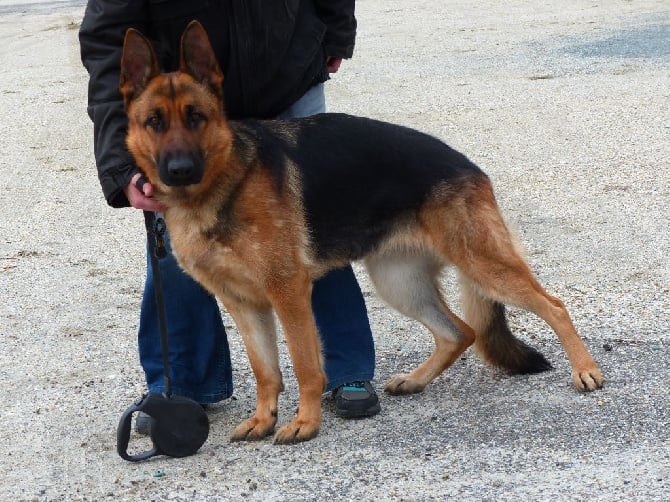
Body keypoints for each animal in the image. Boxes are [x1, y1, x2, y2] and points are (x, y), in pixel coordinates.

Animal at [119, 20, 604, 444]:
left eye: (196, 117)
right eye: (154, 121)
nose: (180, 170)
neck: (220, 185)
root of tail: (468, 166)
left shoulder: (288, 293)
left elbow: (305, 365)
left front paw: (305, 423)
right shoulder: (242, 304)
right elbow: (265, 371)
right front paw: (262, 420)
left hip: (482, 263)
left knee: (553, 306)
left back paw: (585, 370)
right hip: (399, 282)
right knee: (459, 332)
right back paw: (415, 380)